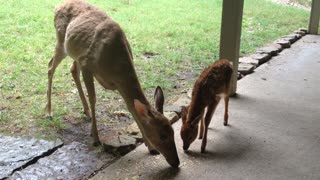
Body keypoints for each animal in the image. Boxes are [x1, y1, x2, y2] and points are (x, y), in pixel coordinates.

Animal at [45, 0, 180, 167]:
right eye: (162, 135)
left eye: (173, 131)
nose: (176, 162)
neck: (116, 65)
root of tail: (58, 6)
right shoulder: (87, 64)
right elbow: (93, 99)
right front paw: (95, 138)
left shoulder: (118, 83)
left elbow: (131, 108)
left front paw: (150, 148)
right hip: (61, 41)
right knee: (50, 66)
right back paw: (49, 112)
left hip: (74, 50)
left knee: (72, 69)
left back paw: (85, 111)